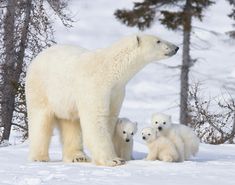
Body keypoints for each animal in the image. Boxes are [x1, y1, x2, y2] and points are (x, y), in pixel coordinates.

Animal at [25, 34, 178, 166]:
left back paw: (78, 156)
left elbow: (109, 118)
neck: (111, 69)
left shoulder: (116, 91)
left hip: (65, 102)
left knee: (71, 123)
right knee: (40, 121)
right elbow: (96, 119)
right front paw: (114, 160)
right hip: (41, 89)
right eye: (158, 40)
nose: (176, 47)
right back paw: (40, 157)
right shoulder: (94, 86)